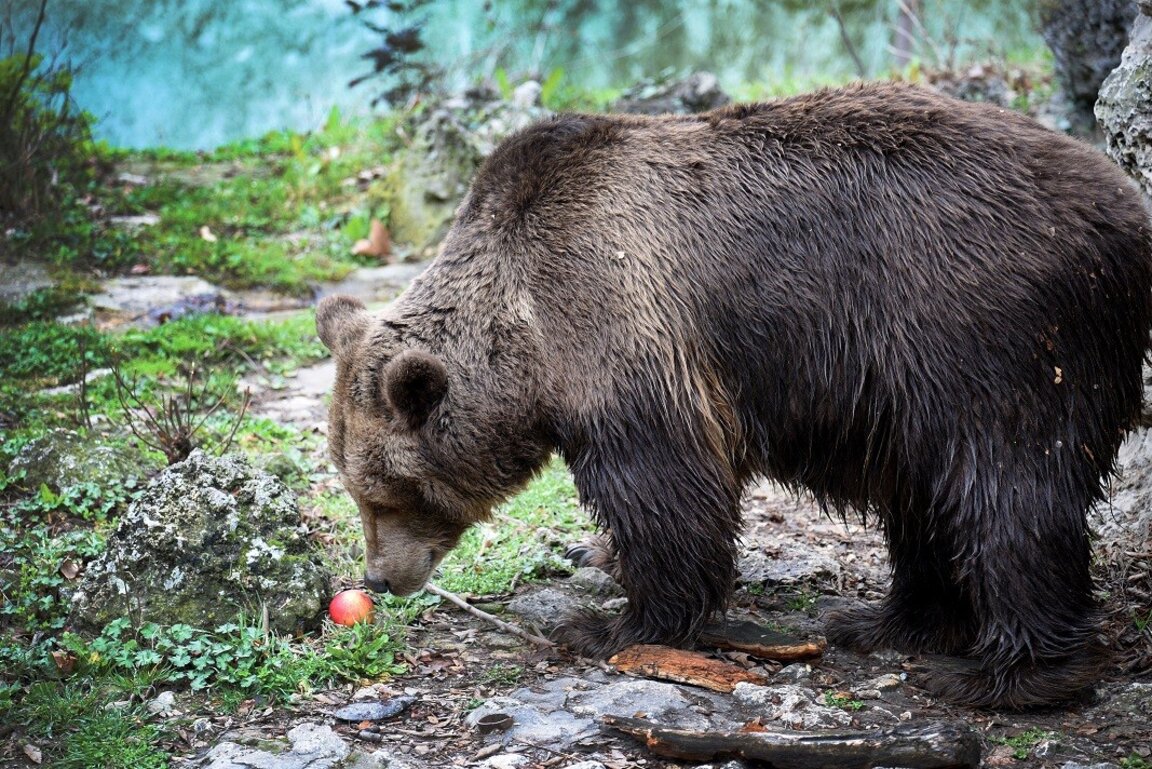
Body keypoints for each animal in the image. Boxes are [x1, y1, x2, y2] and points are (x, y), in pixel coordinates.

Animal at [316, 81, 1152, 709]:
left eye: (389, 490)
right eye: (354, 487)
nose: (380, 576)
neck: (525, 331)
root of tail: (1127, 211)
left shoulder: (621, 321)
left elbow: (667, 490)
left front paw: (612, 624)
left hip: (985, 327)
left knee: (1005, 489)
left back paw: (1007, 673)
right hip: (920, 378)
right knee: (925, 493)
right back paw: (885, 621)